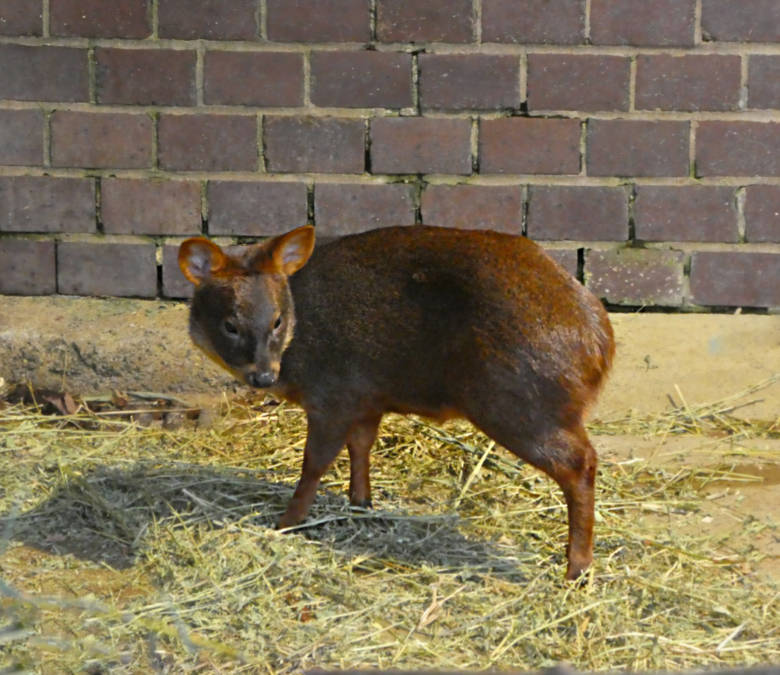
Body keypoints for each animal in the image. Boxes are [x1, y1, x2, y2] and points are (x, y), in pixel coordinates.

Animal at [180, 227, 612, 580]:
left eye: (277, 321)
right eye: (230, 324)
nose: (264, 377)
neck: (303, 327)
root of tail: (599, 343)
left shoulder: (331, 398)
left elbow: (314, 464)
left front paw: (286, 521)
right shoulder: (367, 399)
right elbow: (361, 448)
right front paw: (361, 503)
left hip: (520, 408)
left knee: (581, 464)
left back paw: (577, 567)